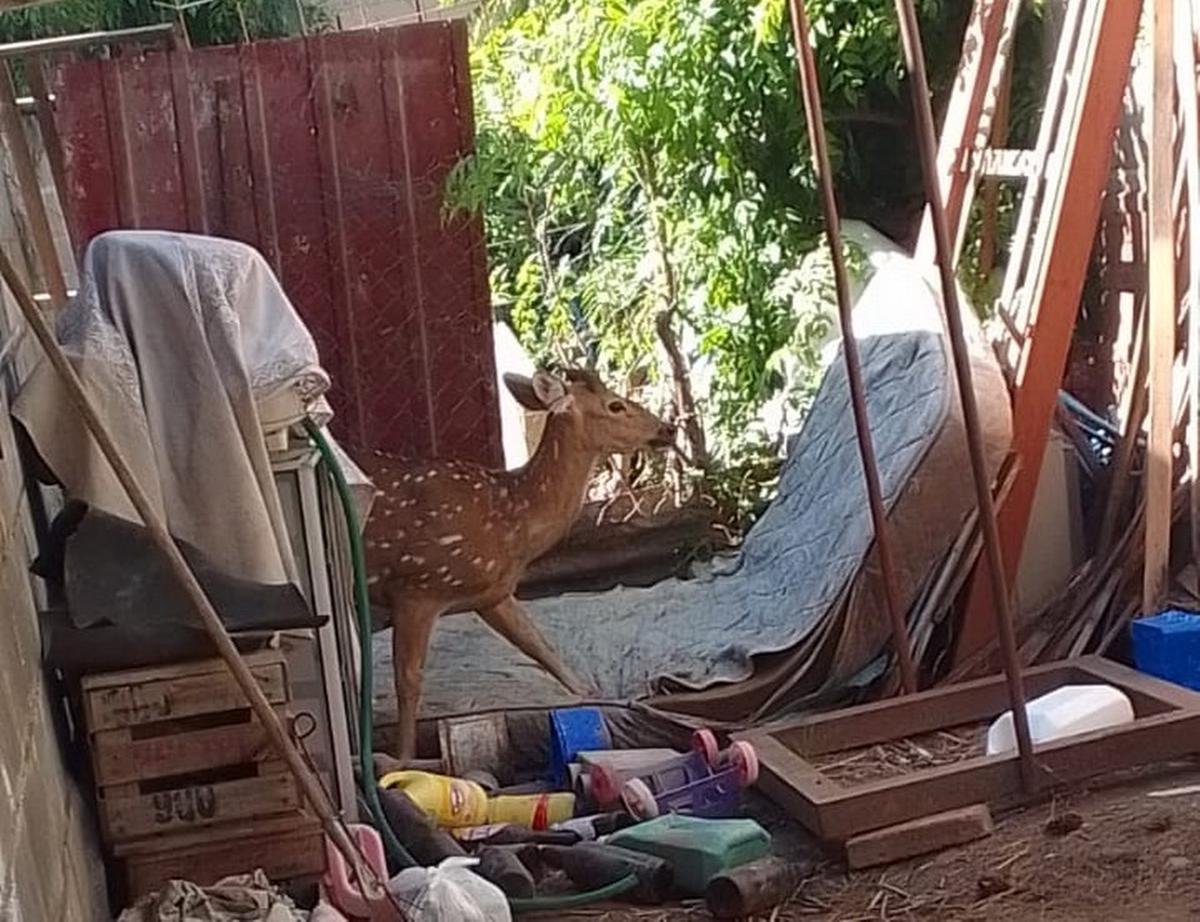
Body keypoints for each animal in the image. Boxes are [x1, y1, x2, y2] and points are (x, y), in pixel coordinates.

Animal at [360, 364, 676, 758]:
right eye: (615, 405)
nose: (668, 428)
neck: (513, 520)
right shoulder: (417, 586)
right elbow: (409, 680)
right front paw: (404, 758)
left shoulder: (492, 592)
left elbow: (539, 645)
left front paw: (592, 695)